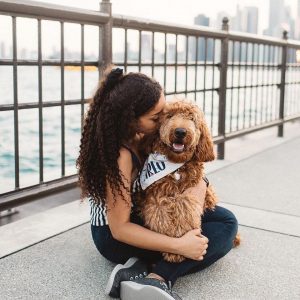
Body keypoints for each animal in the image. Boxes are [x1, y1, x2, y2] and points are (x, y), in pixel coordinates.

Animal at [136, 99, 241, 262]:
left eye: (192, 118)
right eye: (169, 116)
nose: (180, 131)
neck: (176, 167)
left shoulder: (191, 194)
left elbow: (184, 208)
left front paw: (179, 248)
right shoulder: (154, 198)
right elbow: (160, 215)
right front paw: (175, 249)